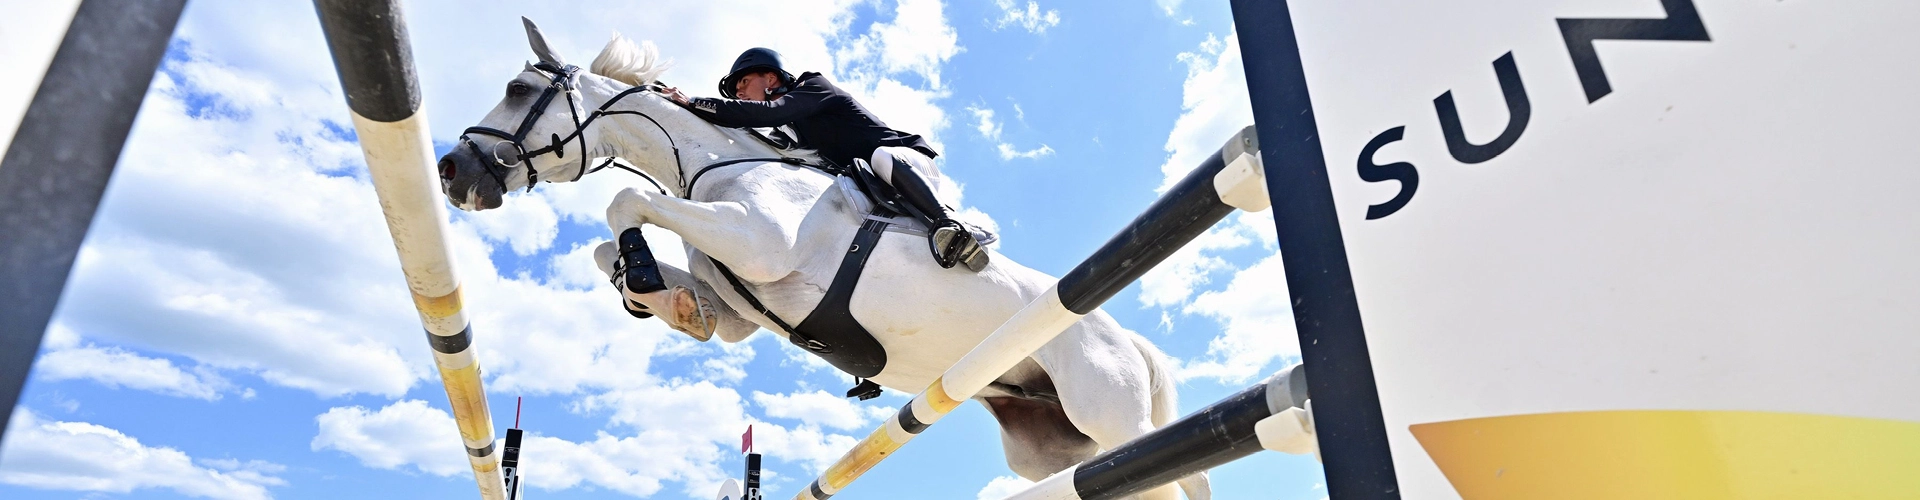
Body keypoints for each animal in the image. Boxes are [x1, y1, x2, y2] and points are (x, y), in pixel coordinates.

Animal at [434, 20, 1208, 500]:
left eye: (518, 91)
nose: (450, 171)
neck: (715, 162)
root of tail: (1125, 336)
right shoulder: (738, 302)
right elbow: (624, 252)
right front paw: (658, 294)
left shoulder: (759, 241)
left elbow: (624, 200)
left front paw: (645, 273)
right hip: (1053, 446)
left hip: (1108, 410)